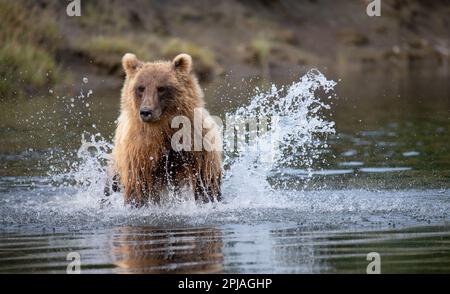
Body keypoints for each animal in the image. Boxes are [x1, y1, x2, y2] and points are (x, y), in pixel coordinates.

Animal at [109, 52, 221, 207]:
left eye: (161, 88)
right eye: (140, 87)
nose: (146, 111)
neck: (164, 130)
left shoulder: (197, 144)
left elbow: (205, 180)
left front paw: (208, 197)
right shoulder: (140, 153)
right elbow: (139, 187)